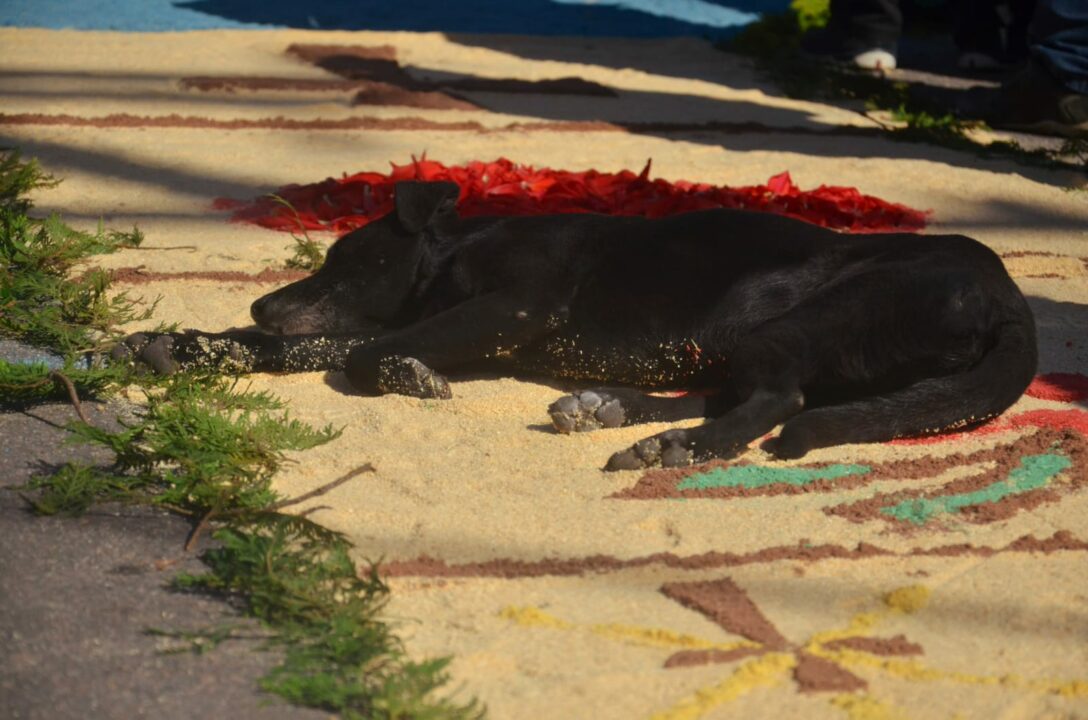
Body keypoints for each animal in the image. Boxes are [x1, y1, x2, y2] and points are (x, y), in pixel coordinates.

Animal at [116, 183, 1035, 472]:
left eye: (346, 262)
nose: (258, 305)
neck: (459, 249)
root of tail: (1007, 294)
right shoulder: (466, 323)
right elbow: (319, 350)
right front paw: (197, 347)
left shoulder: (510, 309)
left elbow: (369, 353)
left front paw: (407, 376)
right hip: (750, 341)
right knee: (729, 393)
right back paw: (619, 413)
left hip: (815, 319)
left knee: (777, 399)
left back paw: (677, 449)